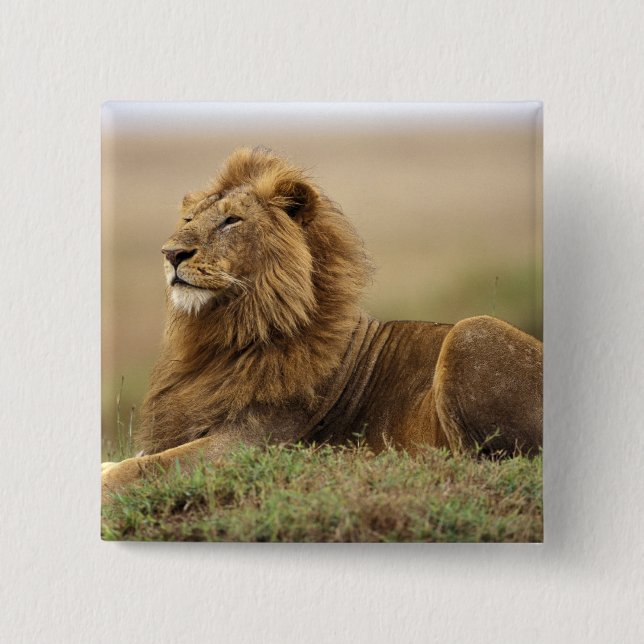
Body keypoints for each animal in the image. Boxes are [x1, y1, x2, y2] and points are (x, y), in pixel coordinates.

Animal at [102, 146, 542, 501]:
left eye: (231, 221)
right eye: (189, 218)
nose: (171, 253)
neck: (227, 334)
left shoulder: (250, 442)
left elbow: (147, 467)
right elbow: (136, 458)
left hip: (472, 332)